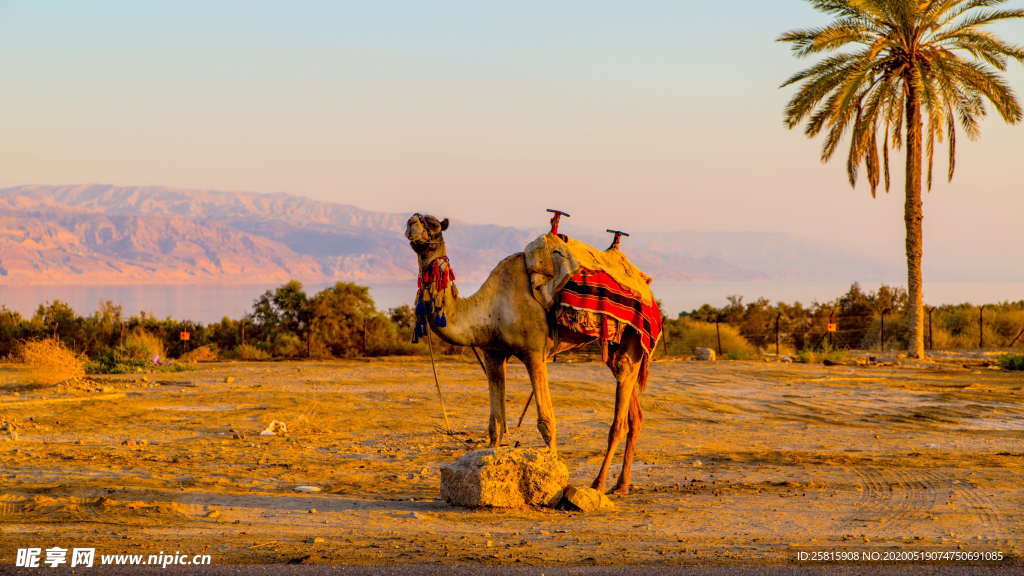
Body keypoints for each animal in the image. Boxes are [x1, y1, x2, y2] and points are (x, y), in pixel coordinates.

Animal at [403, 213, 651, 491]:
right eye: (413, 219)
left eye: (434, 226)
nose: (412, 223)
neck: (489, 308)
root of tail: (646, 286)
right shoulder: (492, 353)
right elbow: (495, 424)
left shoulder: (534, 353)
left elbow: (546, 422)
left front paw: (554, 478)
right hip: (618, 346)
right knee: (634, 413)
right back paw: (621, 484)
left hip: (632, 337)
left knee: (620, 417)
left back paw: (599, 483)